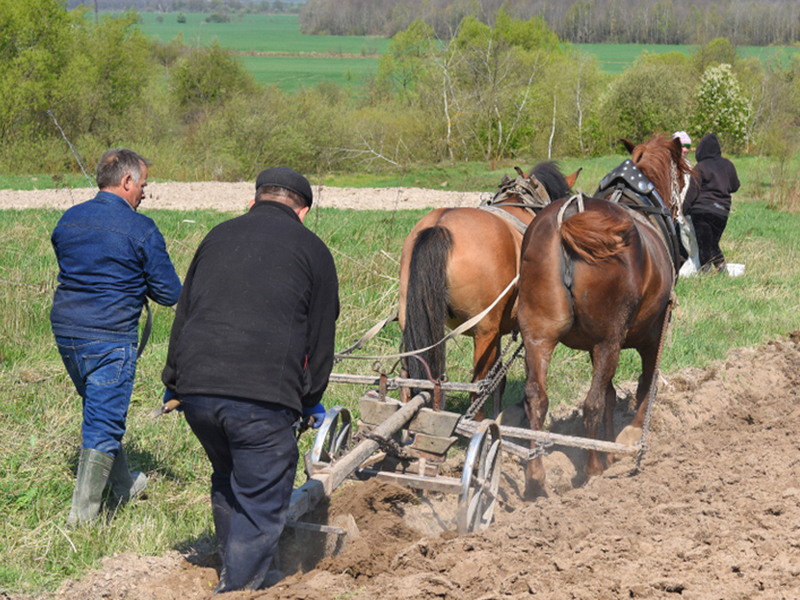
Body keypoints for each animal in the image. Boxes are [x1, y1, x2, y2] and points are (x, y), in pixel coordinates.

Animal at [396, 162, 580, 420]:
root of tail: (440, 226)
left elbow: (499, 380)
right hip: (484, 330)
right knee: (477, 386)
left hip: (412, 322)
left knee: (407, 381)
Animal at [520, 135, 688, 496]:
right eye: (682, 176)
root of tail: (568, 219)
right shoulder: (652, 334)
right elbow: (645, 385)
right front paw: (628, 440)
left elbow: (612, 395)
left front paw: (611, 449)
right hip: (607, 340)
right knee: (591, 403)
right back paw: (592, 471)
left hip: (539, 335)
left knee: (537, 397)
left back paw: (536, 478)